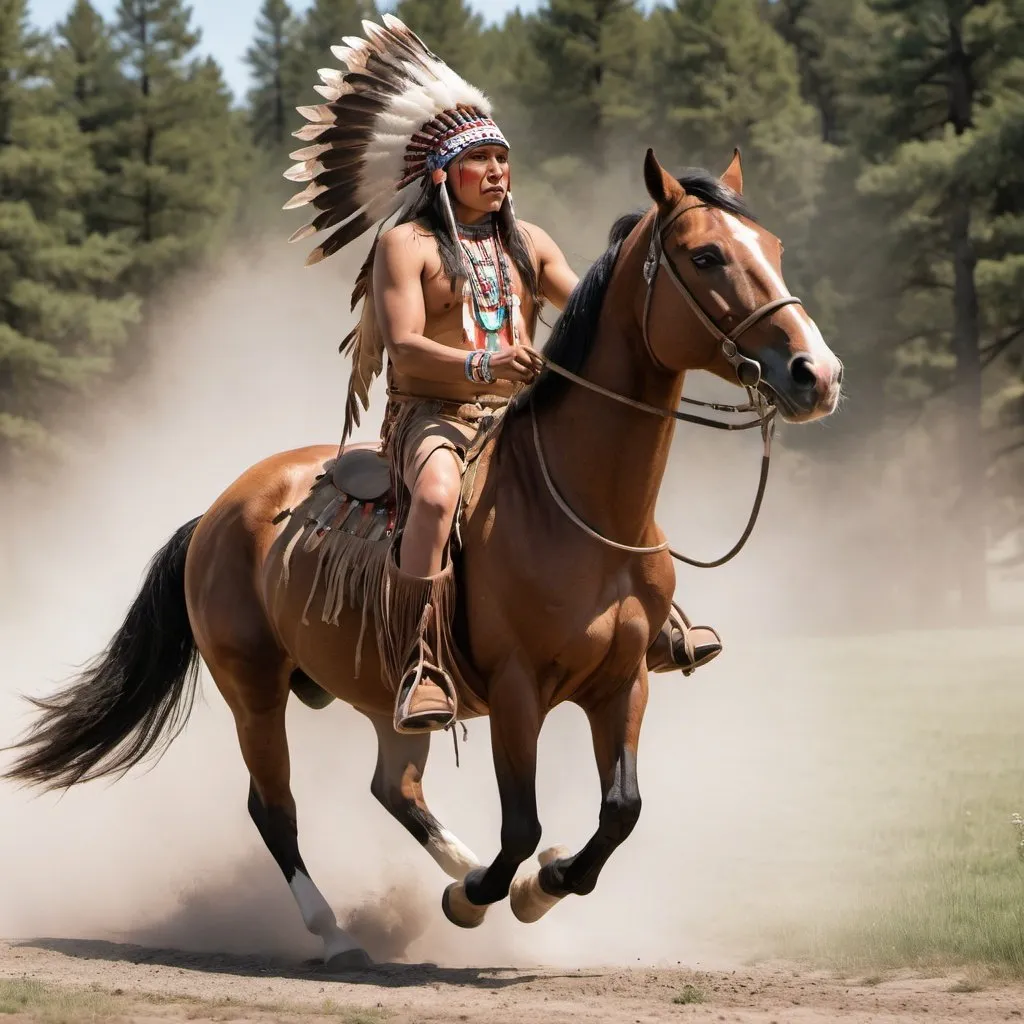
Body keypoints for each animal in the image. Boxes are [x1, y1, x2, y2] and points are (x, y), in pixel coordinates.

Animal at [4, 149, 843, 966]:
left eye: (769, 248)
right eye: (706, 255)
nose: (817, 373)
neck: (577, 509)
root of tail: (216, 513)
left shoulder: (623, 681)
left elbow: (620, 812)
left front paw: (529, 891)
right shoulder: (516, 690)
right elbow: (523, 825)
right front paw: (496, 895)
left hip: (387, 699)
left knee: (394, 789)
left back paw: (452, 878)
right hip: (253, 689)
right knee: (274, 808)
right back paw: (341, 934)